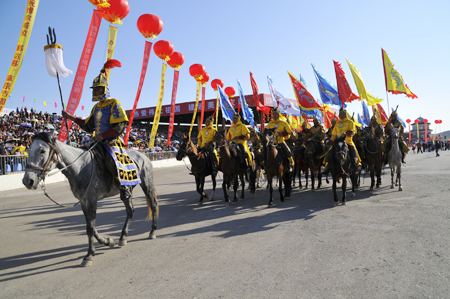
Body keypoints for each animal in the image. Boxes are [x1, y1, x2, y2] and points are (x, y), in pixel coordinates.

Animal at [23, 134, 160, 268]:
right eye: (28, 150)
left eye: (42, 150)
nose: (27, 181)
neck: (80, 168)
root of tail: (144, 156)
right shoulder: (84, 201)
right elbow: (91, 227)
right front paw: (107, 241)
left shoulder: (91, 200)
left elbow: (90, 228)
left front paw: (89, 255)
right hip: (127, 190)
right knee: (130, 210)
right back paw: (122, 238)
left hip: (146, 183)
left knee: (153, 205)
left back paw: (152, 232)